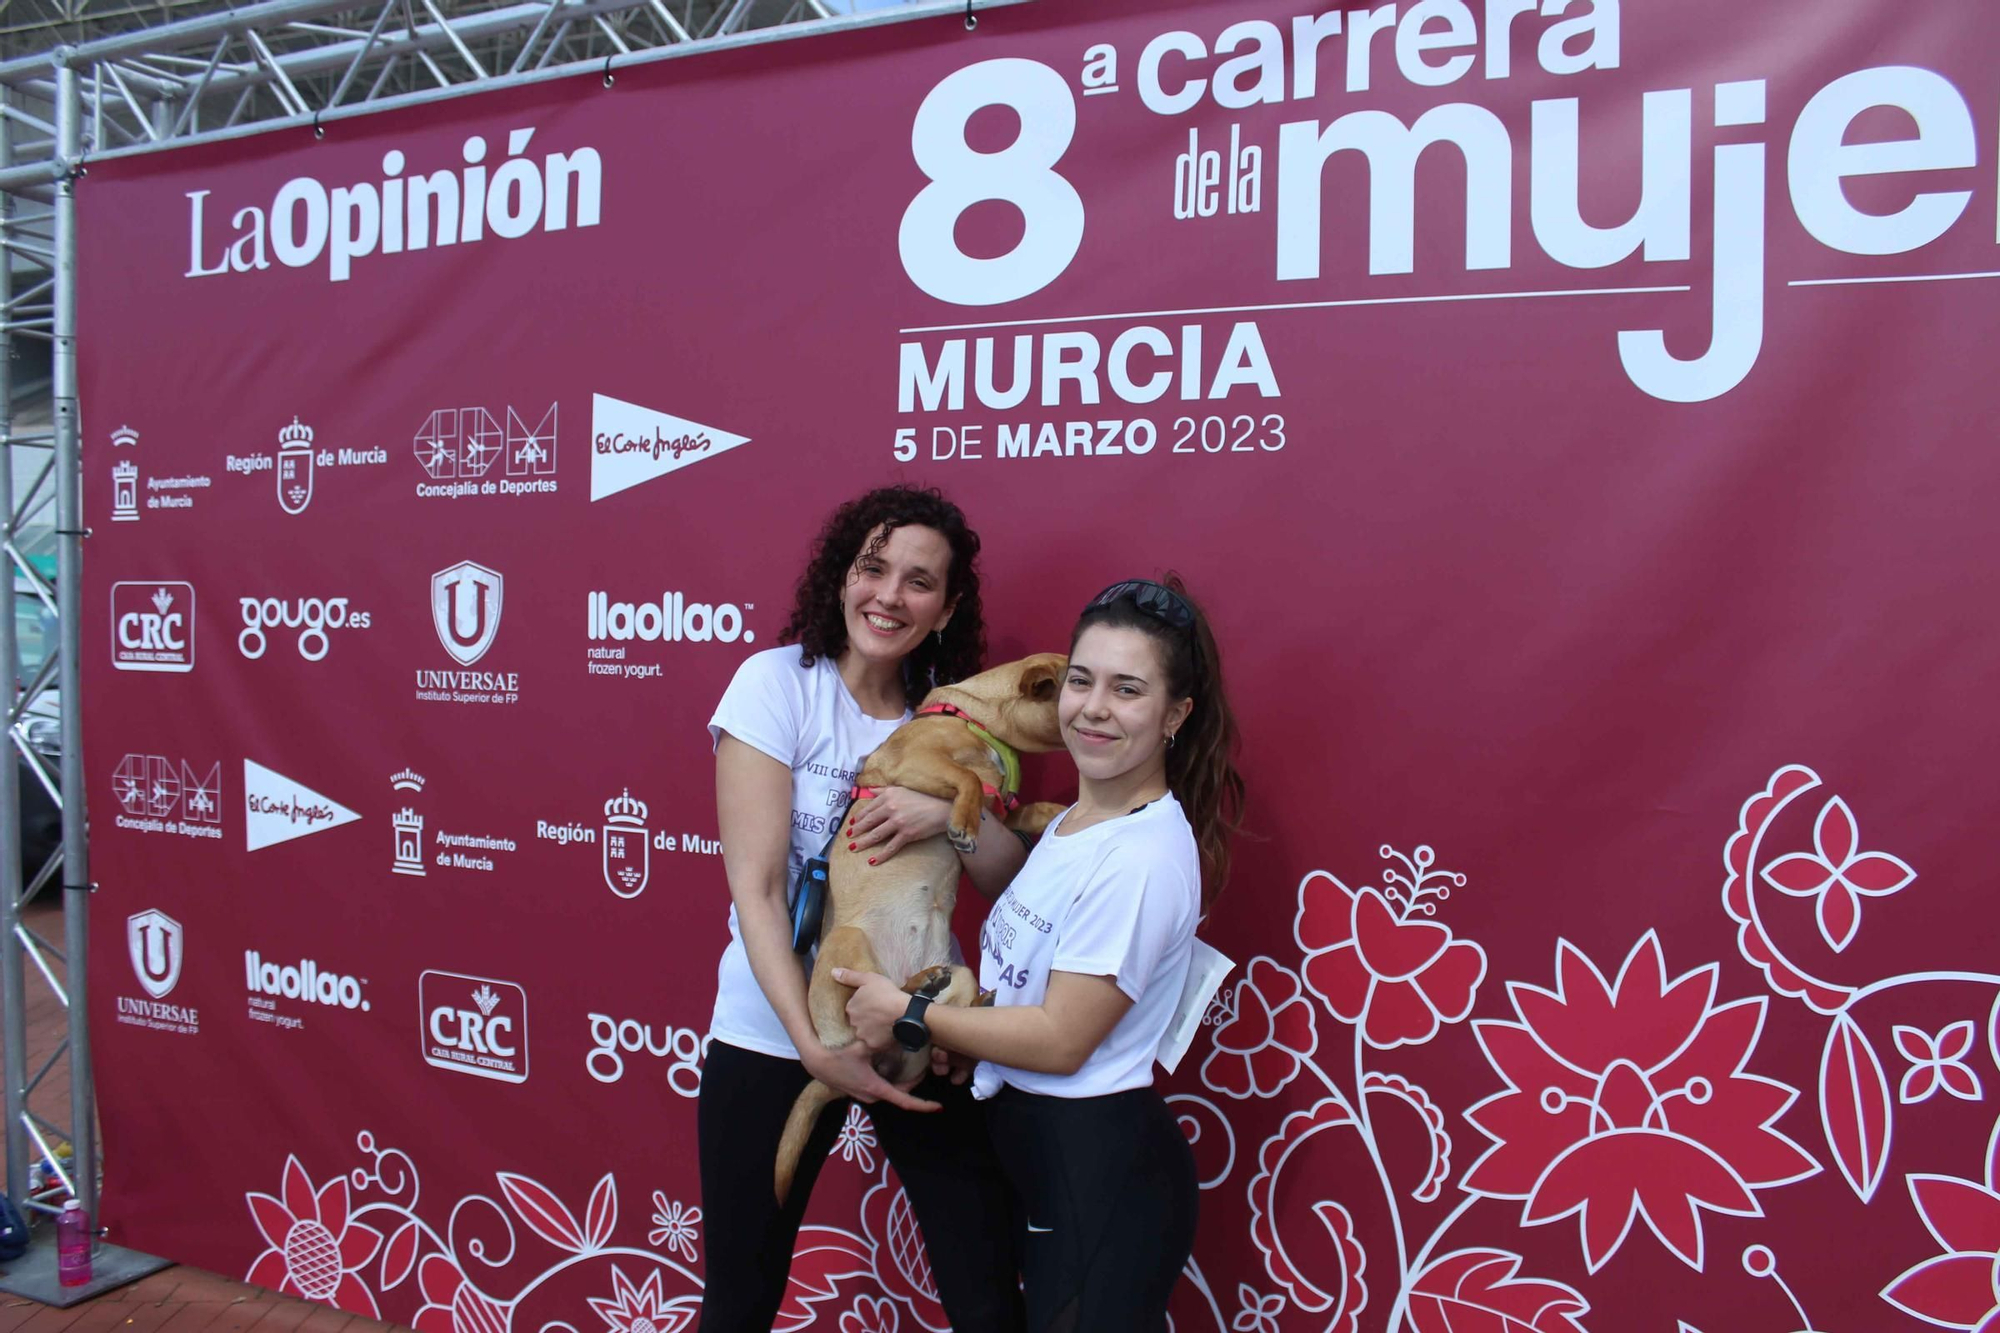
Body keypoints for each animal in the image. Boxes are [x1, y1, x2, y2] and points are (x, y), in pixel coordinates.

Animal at [772, 648, 1072, 1200]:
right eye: (1076, 680)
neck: (981, 722)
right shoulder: (917, 765)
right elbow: (969, 781)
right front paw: (963, 822)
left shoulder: (1007, 818)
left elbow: (1036, 808)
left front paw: (1061, 814)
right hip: (848, 943)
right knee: (869, 999)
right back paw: (917, 983)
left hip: (957, 974)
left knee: (928, 1008)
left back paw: (955, 995)